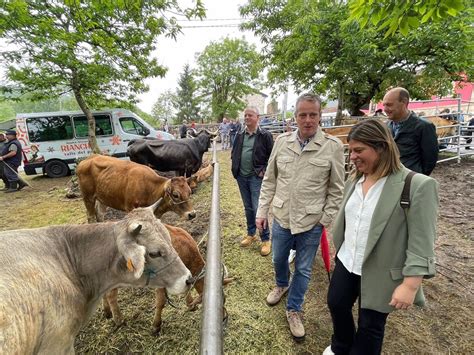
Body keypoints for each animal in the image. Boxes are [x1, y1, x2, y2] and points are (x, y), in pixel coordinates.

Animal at [102, 224, 233, 336]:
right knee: (111, 295)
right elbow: (161, 302)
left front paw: (190, 304)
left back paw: (107, 312)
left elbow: (186, 287)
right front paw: (156, 326)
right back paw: (119, 320)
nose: (223, 319)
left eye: (224, 299)